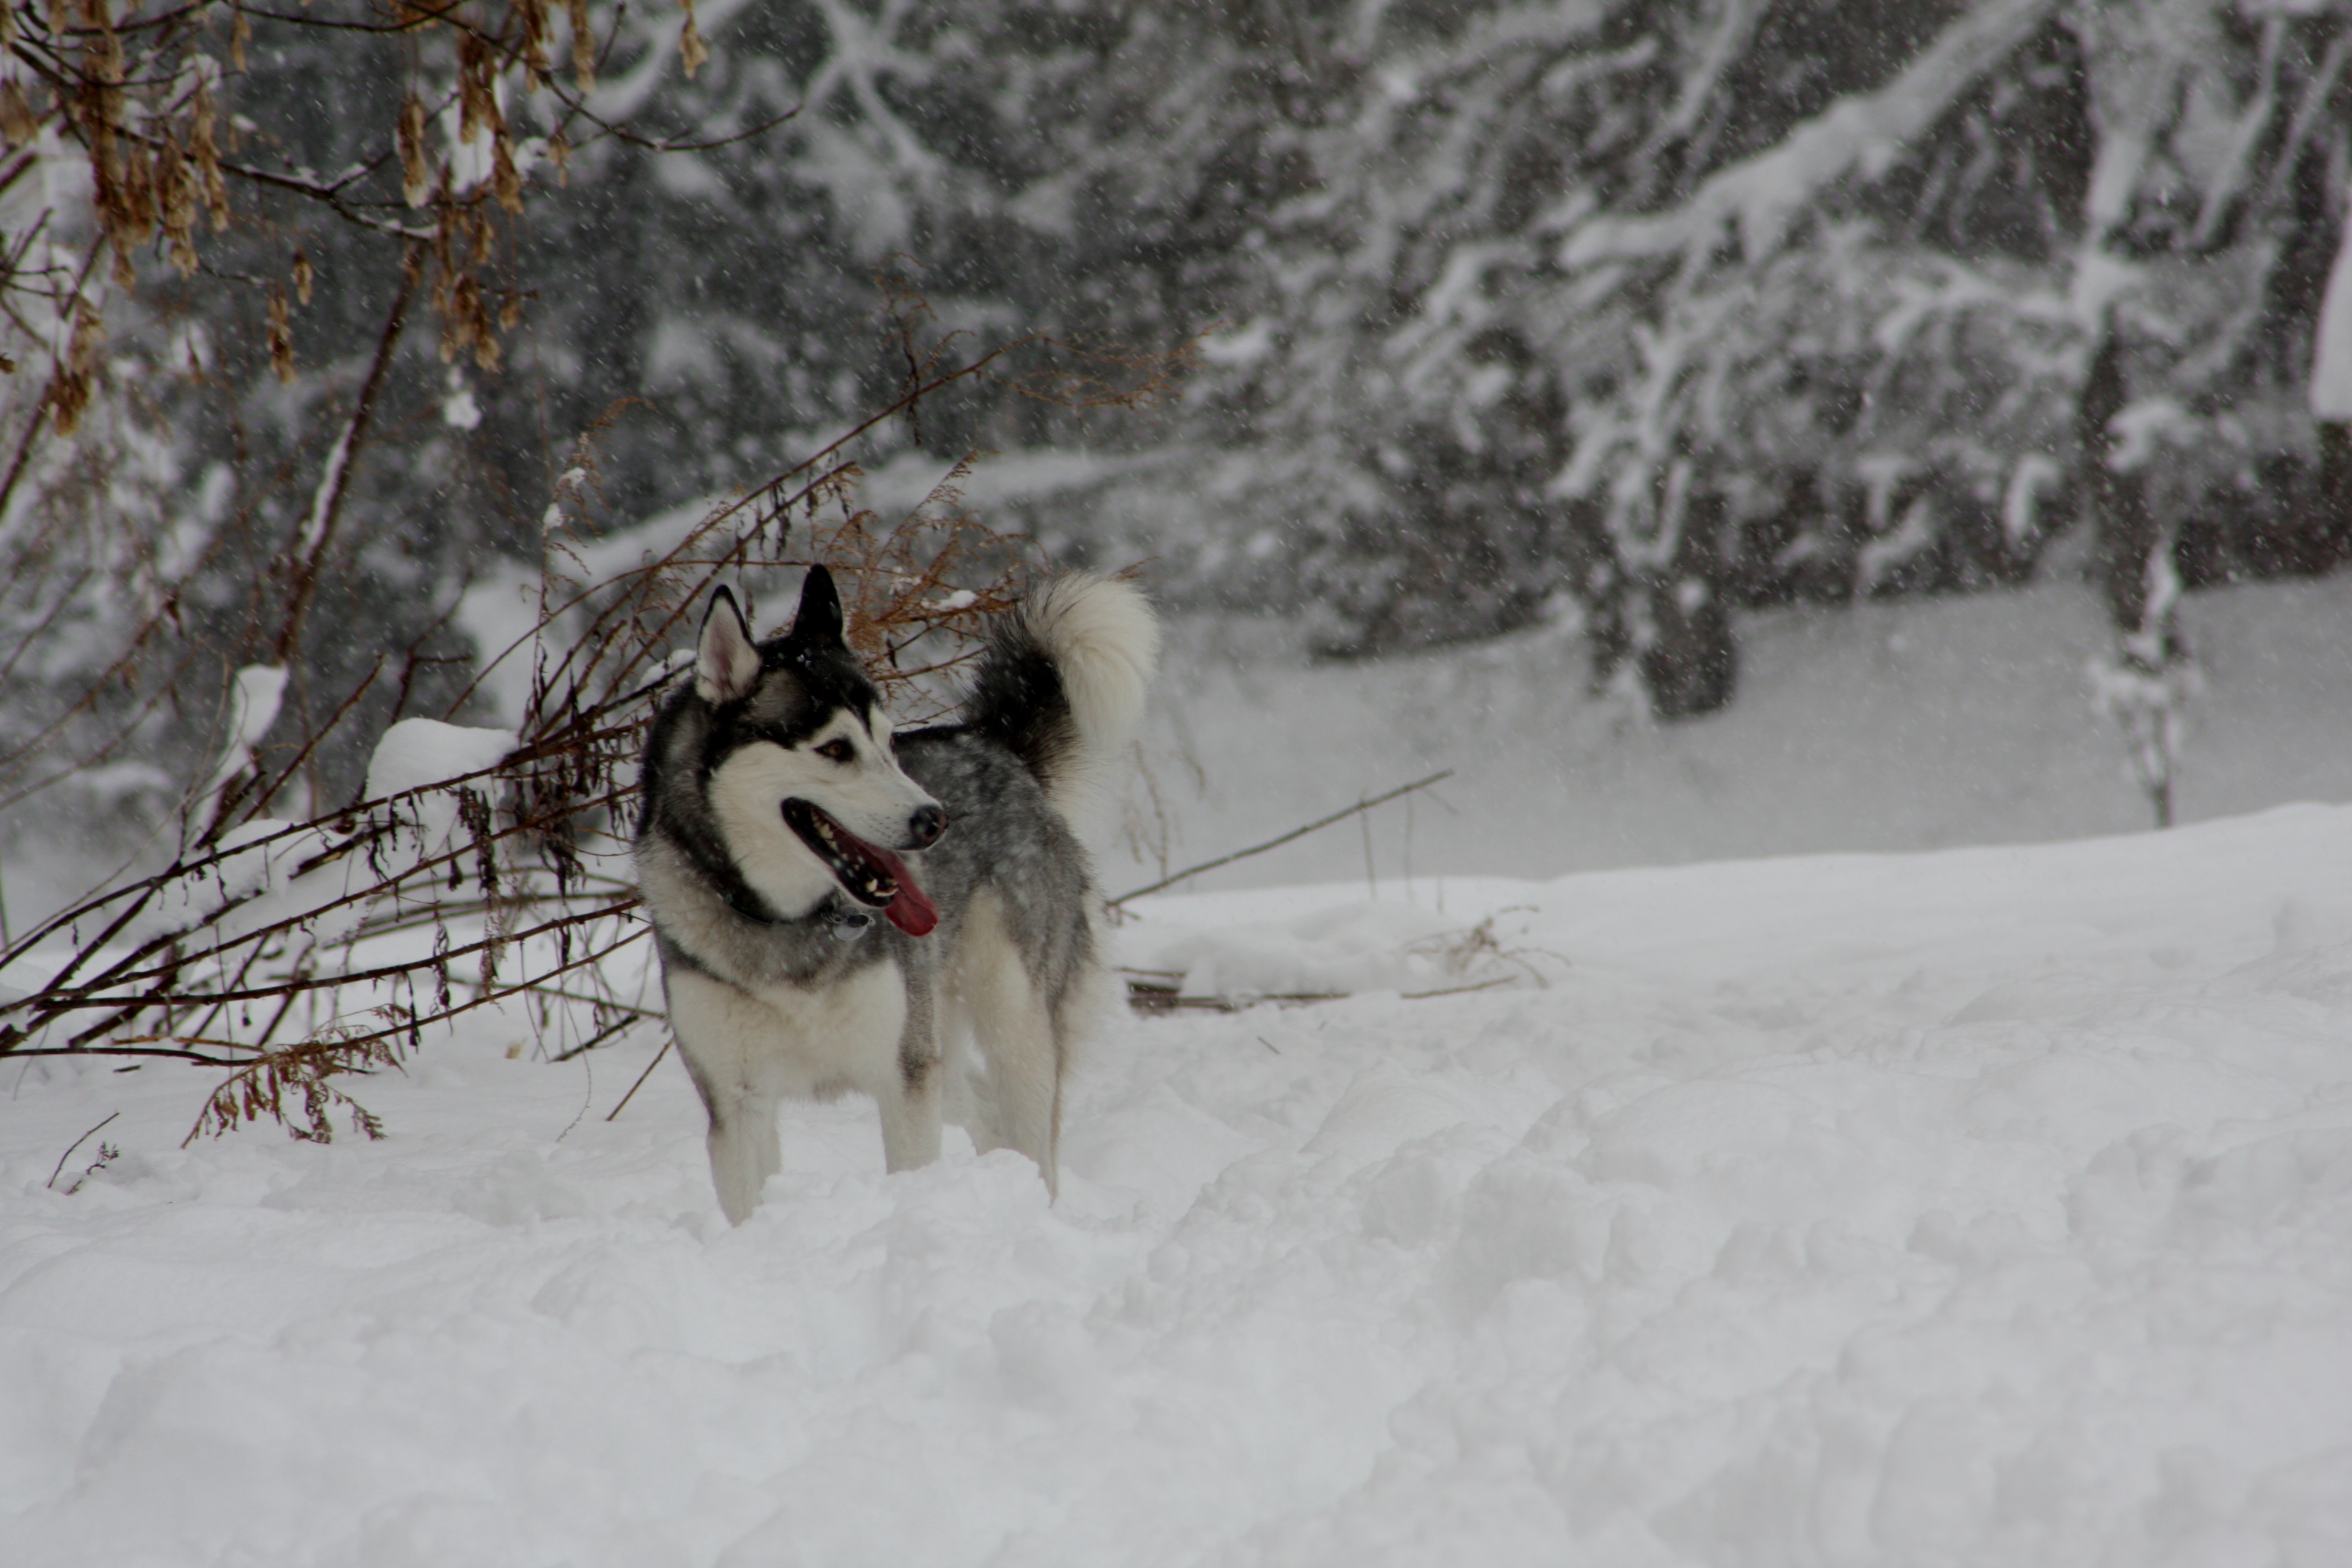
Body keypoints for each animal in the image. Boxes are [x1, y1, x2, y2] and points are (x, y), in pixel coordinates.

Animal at [634, 564, 1158, 1224]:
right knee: (984, 1111)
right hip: (943, 1044)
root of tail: (992, 746)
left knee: (1031, 1134)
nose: (935, 820)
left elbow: (912, 1172)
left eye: (888, 742)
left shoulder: (904, 1076)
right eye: (835, 749)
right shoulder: (737, 1102)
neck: (791, 922)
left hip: (1013, 1025)